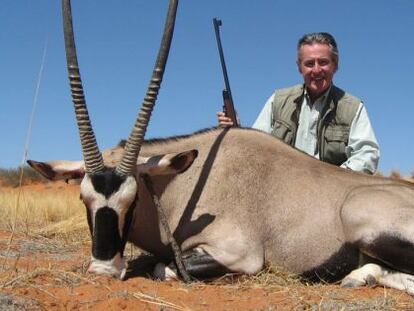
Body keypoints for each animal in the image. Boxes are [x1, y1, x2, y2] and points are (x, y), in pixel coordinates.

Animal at [28, 0, 414, 296]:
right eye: (84, 199)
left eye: (132, 201)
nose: (103, 271)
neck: (186, 183)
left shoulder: (239, 254)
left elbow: (163, 268)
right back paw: (358, 277)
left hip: (360, 217)